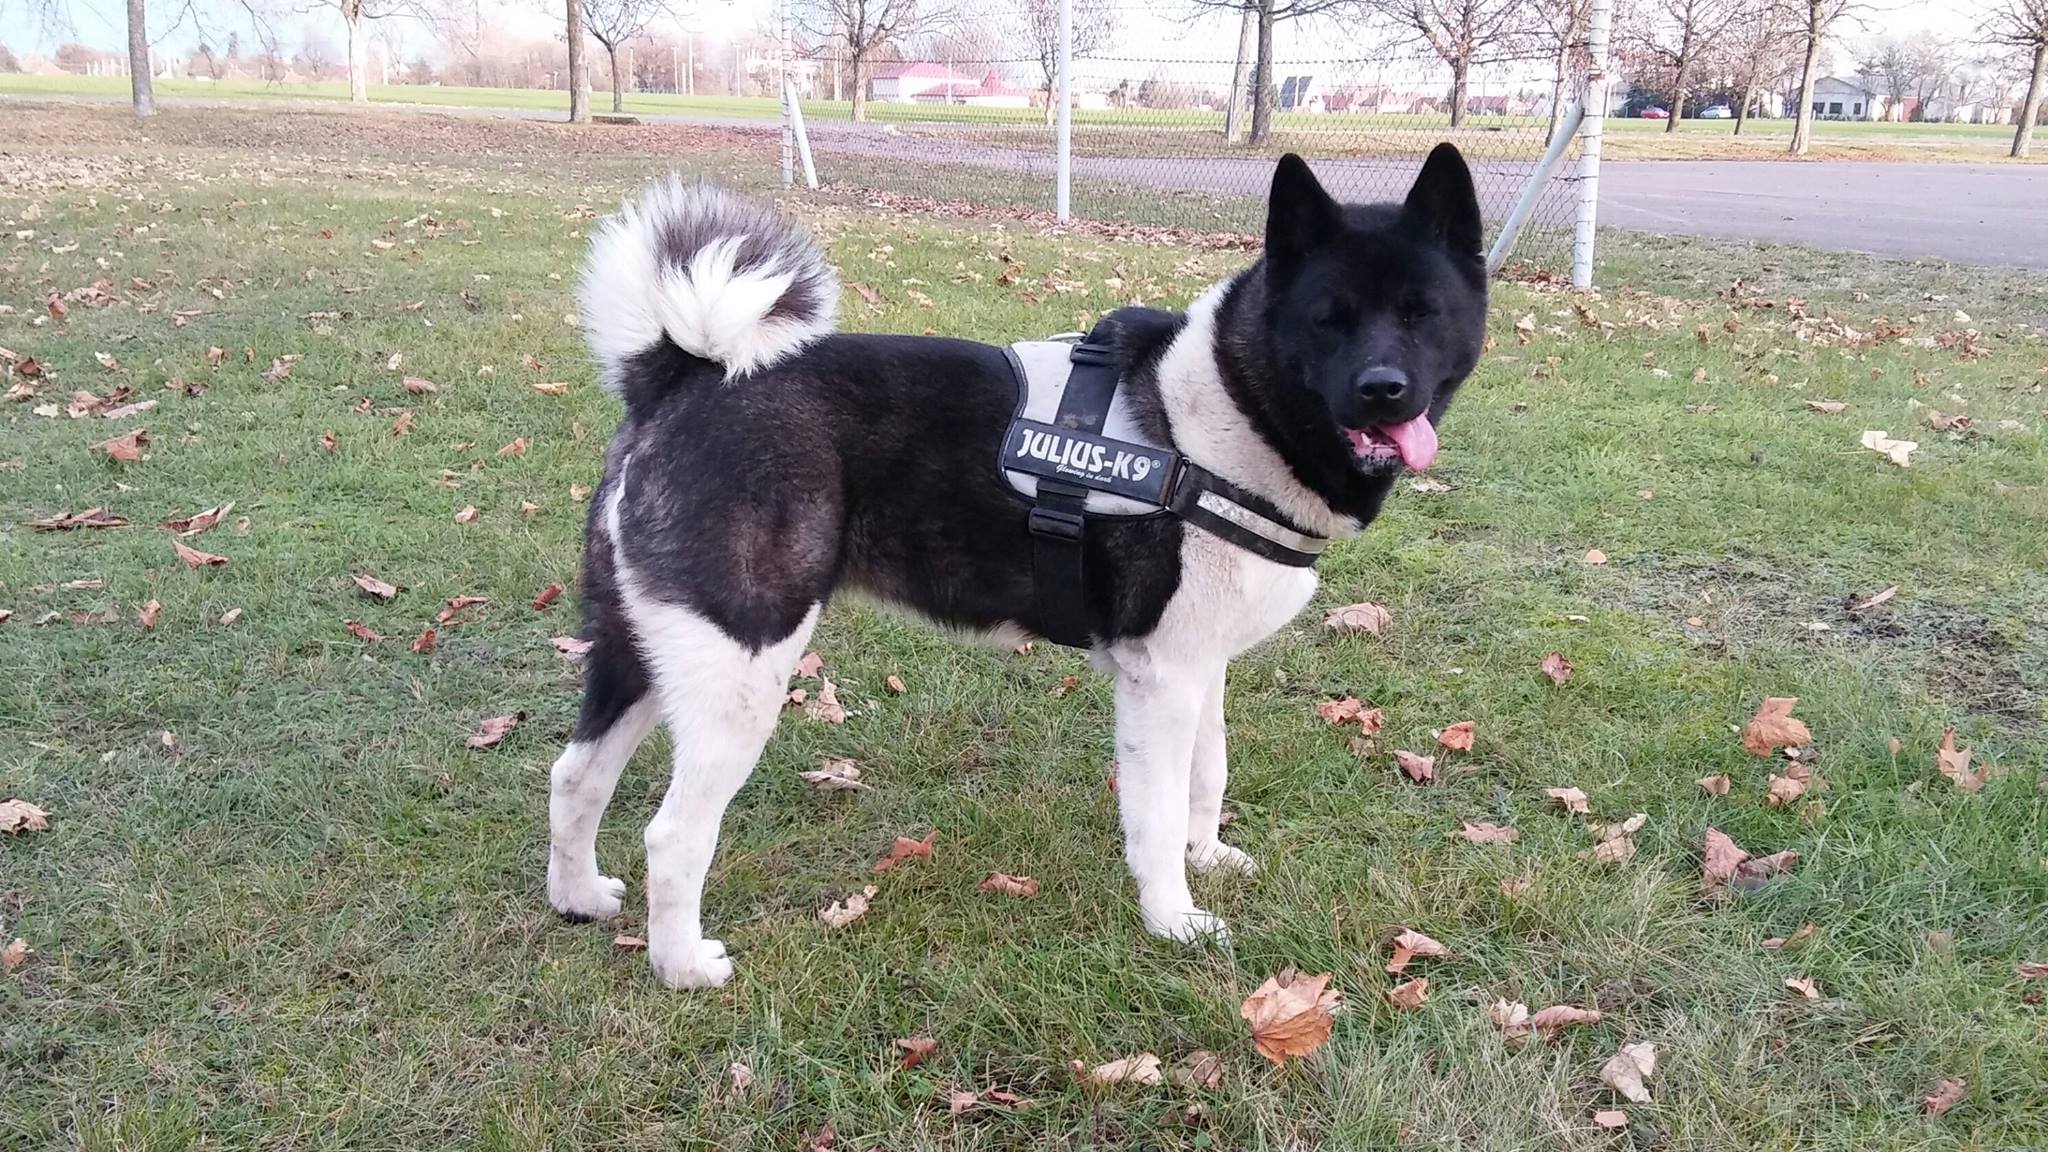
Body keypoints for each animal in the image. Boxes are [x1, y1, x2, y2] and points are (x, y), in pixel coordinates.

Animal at [552, 145, 1490, 988]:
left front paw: (1207, 855)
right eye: (1329, 317)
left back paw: (578, 899)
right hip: (741, 670)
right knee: (675, 835)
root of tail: (683, 375)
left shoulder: (1202, 668)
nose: (1383, 388)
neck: (1230, 407)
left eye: (1422, 313)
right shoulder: (1162, 677)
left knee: (575, 775)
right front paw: (1172, 920)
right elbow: (1154, 813)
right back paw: (683, 968)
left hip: (646, 654)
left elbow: (1208, 774)